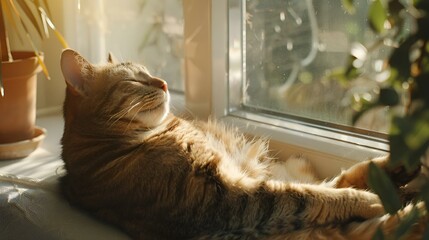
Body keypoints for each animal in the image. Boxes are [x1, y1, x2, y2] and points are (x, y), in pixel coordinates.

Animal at [60, 49, 424, 240]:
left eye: (149, 71)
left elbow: (331, 184)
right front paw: (370, 199)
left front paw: (386, 177)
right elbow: (311, 196)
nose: (163, 82)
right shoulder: (225, 198)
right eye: (134, 80)